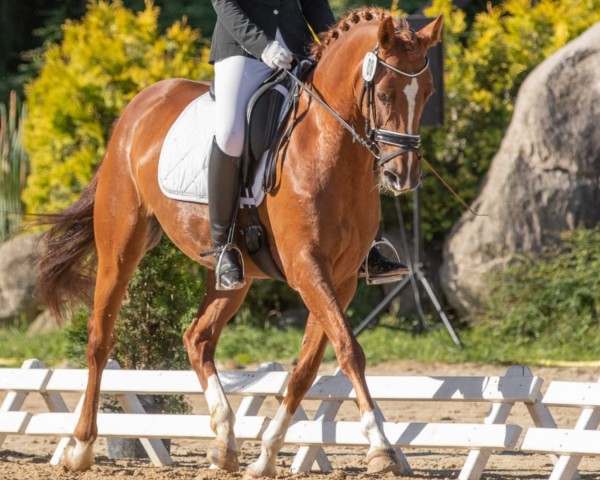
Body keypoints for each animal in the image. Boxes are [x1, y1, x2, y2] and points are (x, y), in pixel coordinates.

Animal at [37, 8, 440, 480]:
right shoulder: (307, 268)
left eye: (427, 93)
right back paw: (80, 446)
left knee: (197, 338)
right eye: (386, 93)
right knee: (100, 338)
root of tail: (137, 109)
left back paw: (226, 442)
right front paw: (381, 447)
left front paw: (265, 455)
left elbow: (307, 366)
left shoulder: (340, 280)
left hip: (235, 275)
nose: (402, 176)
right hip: (120, 246)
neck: (328, 147)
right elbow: (349, 350)